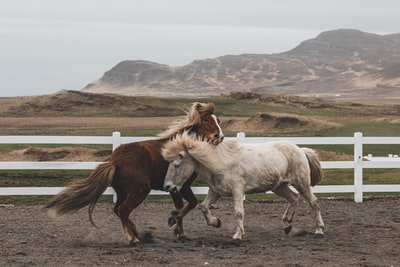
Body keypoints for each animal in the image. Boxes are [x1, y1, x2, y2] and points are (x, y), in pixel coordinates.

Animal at [46, 103, 225, 247]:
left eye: (218, 120)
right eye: (206, 120)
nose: (219, 137)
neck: (184, 147)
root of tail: (114, 161)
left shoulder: (175, 188)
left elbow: (180, 206)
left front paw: (179, 232)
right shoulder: (183, 186)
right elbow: (191, 204)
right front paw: (176, 220)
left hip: (123, 192)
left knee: (117, 209)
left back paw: (136, 232)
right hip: (139, 191)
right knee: (123, 210)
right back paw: (133, 238)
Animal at [162, 135, 324, 242]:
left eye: (176, 165)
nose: (167, 186)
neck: (221, 163)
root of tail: (301, 150)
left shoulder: (238, 191)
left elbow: (239, 212)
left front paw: (238, 235)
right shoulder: (216, 191)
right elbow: (203, 207)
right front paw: (216, 222)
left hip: (301, 183)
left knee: (314, 202)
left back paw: (319, 230)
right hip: (279, 186)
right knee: (294, 198)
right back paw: (287, 225)